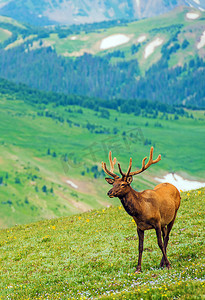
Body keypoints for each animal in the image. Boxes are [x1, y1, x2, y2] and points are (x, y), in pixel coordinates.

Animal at [101, 146, 180, 274]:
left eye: (123, 184)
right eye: (113, 184)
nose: (109, 192)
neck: (142, 210)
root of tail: (174, 186)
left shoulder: (157, 222)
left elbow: (159, 244)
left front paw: (168, 265)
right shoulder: (139, 227)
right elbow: (140, 247)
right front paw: (138, 268)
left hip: (174, 214)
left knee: (167, 237)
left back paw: (163, 263)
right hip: (164, 222)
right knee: (165, 236)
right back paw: (162, 262)